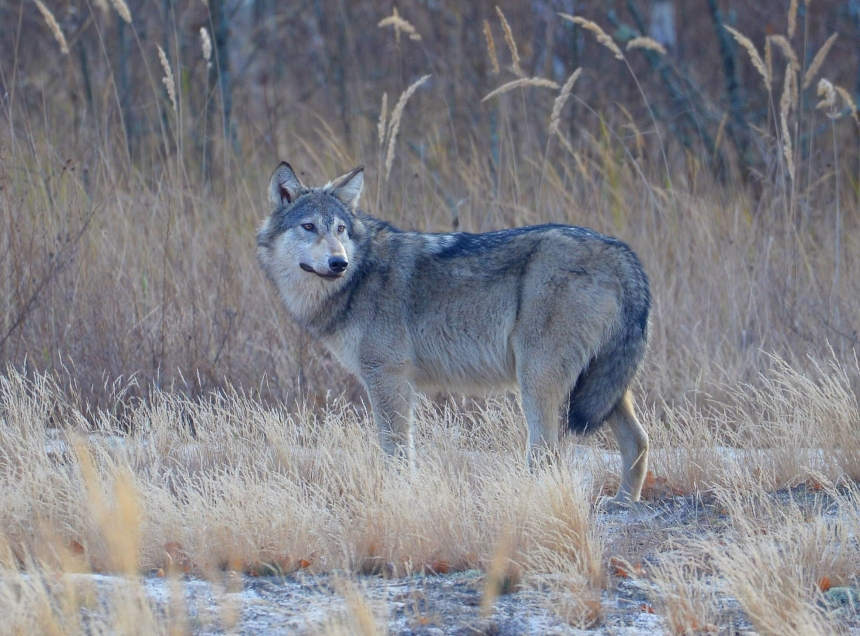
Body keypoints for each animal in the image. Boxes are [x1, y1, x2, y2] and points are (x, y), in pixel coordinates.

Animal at [255, 161, 652, 504]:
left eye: (340, 229)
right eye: (309, 227)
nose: (339, 262)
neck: (359, 277)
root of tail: (621, 251)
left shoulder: (387, 377)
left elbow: (395, 451)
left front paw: (398, 496)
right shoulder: (398, 382)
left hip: (538, 381)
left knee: (548, 453)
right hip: (598, 387)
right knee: (638, 440)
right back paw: (623, 502)